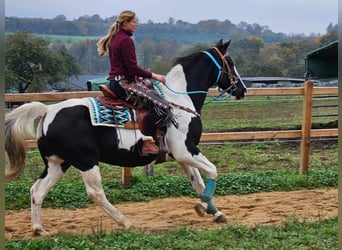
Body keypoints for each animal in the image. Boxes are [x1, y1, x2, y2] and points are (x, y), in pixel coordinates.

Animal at [4, 38, 246, 235]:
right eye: (230, 61)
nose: (242, 89)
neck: (180, 100)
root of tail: (47, 112)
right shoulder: (186, 150)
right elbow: (212, 171)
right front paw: (203, 207)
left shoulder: (182, 156)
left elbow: (198, 182)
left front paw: (216, 213)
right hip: (86, 161)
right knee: (95, 193)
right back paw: (125, 222)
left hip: (58, 163)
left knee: (37, 191)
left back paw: (38, 229)